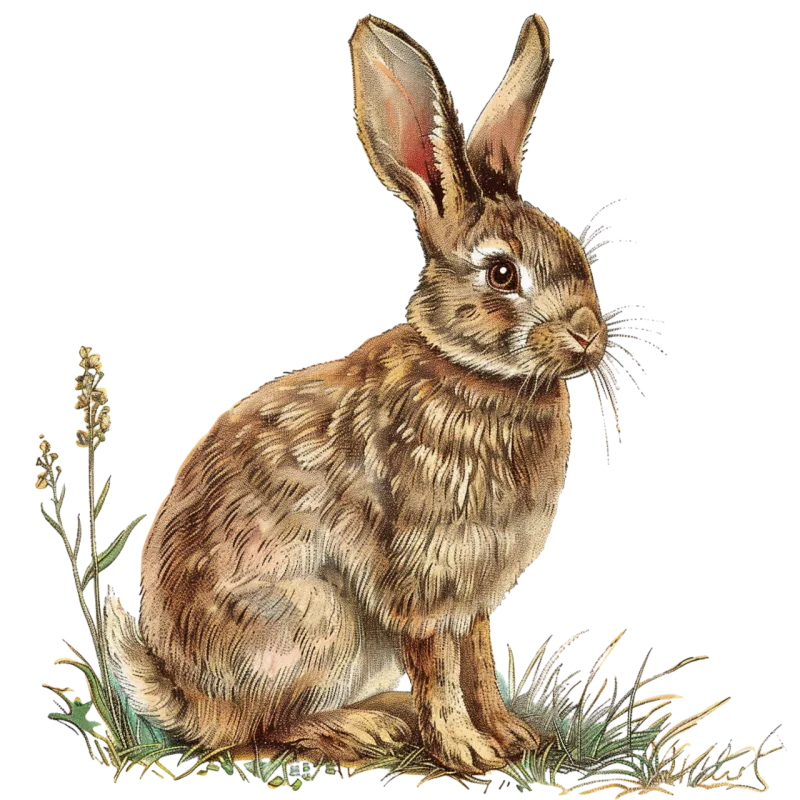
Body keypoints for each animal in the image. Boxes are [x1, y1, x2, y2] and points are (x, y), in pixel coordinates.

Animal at [105, 13, 608, 775]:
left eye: (575, 252)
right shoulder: (422, 577)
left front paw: (513, 737)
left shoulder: (475, 592)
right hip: (317, 622)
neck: (477, 375)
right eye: (501, 274)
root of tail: (190, 698)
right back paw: (361, 728)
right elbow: (439, 667)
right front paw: (466, 750)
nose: (588, 335)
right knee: (258, 731)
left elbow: (477, 662)